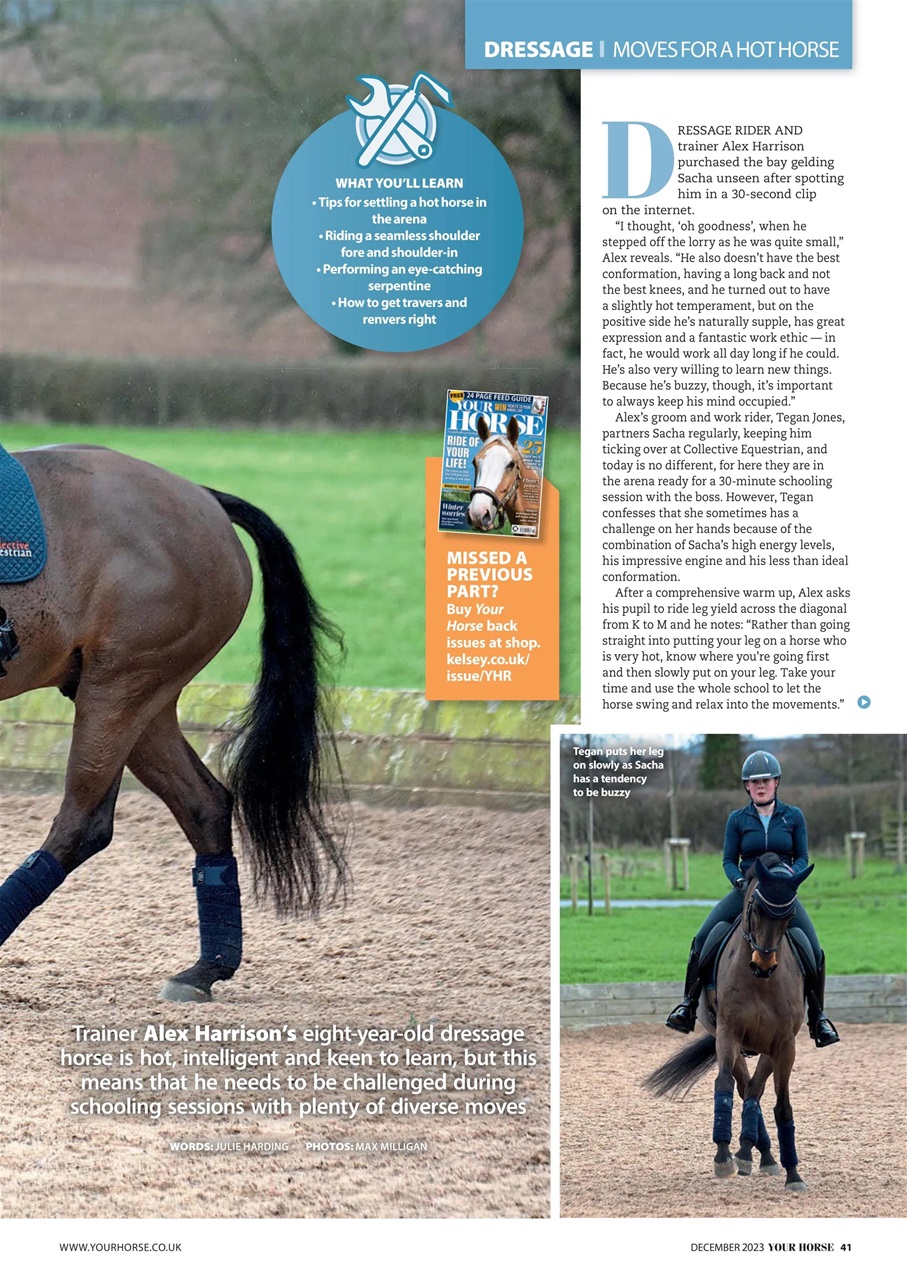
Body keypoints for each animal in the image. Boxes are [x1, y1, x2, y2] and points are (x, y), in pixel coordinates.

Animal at [0, 444, 348, 1002]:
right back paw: (208, 968)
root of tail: (202, 497)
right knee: (203, 803)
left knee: (83, 822)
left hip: (122, 683)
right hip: (141, 700)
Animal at [644, 854, 817, 1191]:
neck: (761, 983)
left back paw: (760, 1155)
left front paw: (792, 1173)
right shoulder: (728, 1034)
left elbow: (778, 1103)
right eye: (755, 908)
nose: (763, 964)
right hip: (729, 1040)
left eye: (789, 915)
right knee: (743, 1086)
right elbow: (723, 1085)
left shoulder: (783, 1046)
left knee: (753, 1091)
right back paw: (754, 1153)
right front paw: (724, 1155)